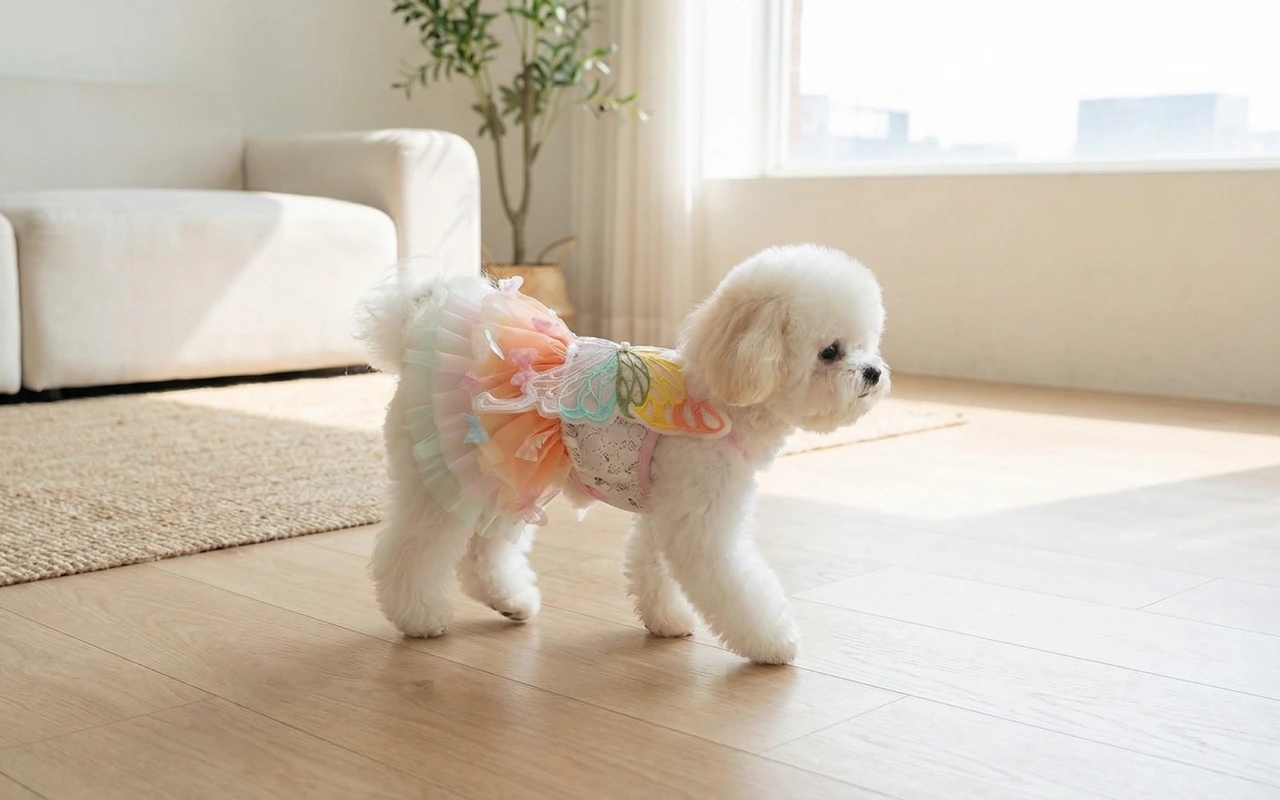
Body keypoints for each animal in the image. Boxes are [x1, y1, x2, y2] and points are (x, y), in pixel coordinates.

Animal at [358, 243, 889, 664]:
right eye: (830, 351)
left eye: (867, 343)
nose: (874, 373)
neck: (722, 396)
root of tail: (415, 333)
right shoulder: (701, 520)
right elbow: (734, 585)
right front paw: (772, 642)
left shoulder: (667, 509)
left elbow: (653, 569)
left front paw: (667, 620)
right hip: (442, 477)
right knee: (406, 551)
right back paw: (419, 617)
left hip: (508, 473)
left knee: (482, 551)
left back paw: (511, 601)